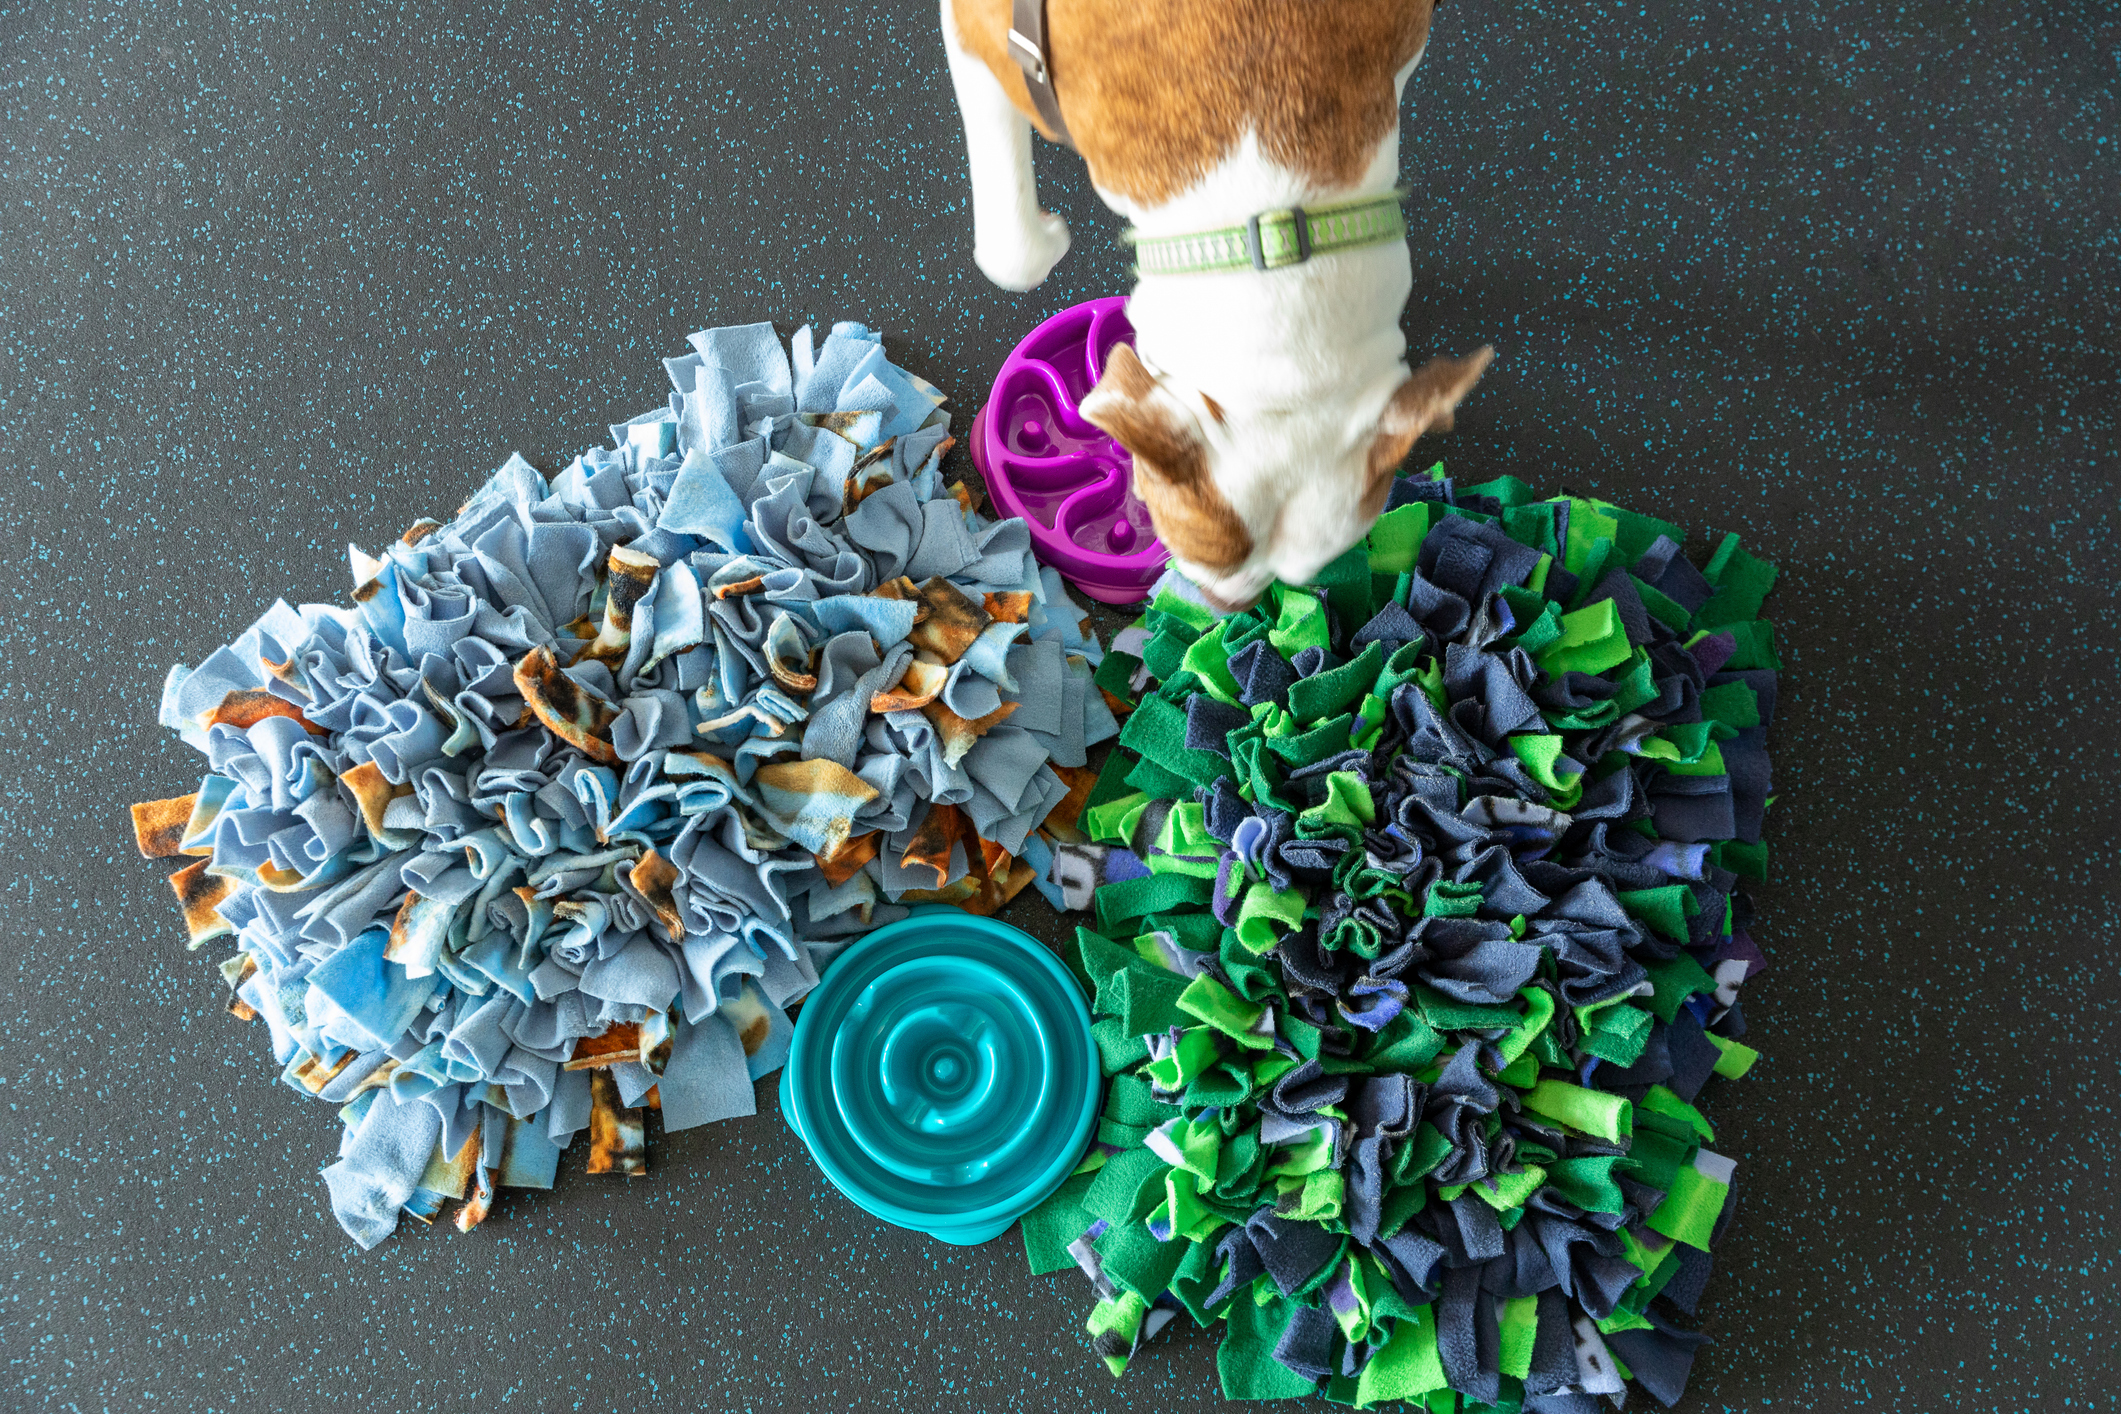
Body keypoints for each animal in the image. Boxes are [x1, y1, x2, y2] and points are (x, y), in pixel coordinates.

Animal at [945, 4, 1493, 614]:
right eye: (1187, 537)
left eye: (1302, 572)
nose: (1225, 609)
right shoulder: (975, 38)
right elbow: (1013, 252)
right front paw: (1046, 238)